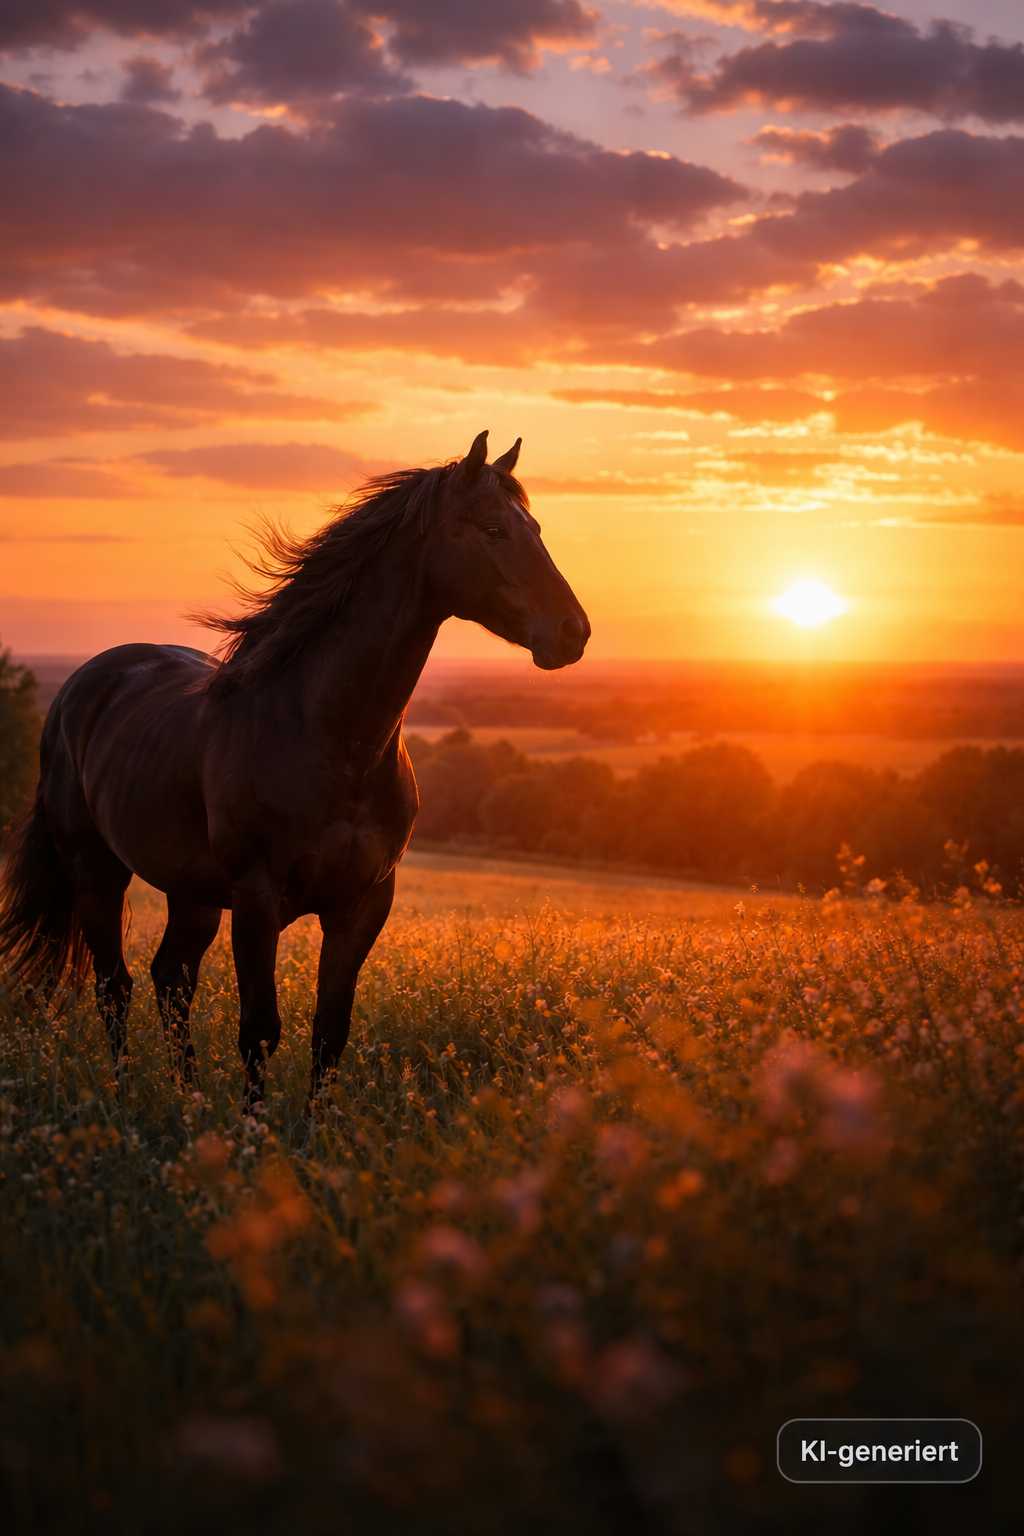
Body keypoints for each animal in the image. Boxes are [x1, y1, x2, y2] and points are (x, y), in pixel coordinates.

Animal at [0, 431, 590, 1106]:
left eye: (534, 527)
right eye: (493, 530)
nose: (574, 632)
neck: (333, 741)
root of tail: (80, 686)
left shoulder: (362, 904)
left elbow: (329, 1032)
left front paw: (314, 1132)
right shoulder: (258, 903)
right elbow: (259, 1030)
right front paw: (255, 1130)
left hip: (191, 893)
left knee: (170, 980)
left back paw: (188, 1099)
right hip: (97, 872)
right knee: (114, 986)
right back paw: (126, 1098)